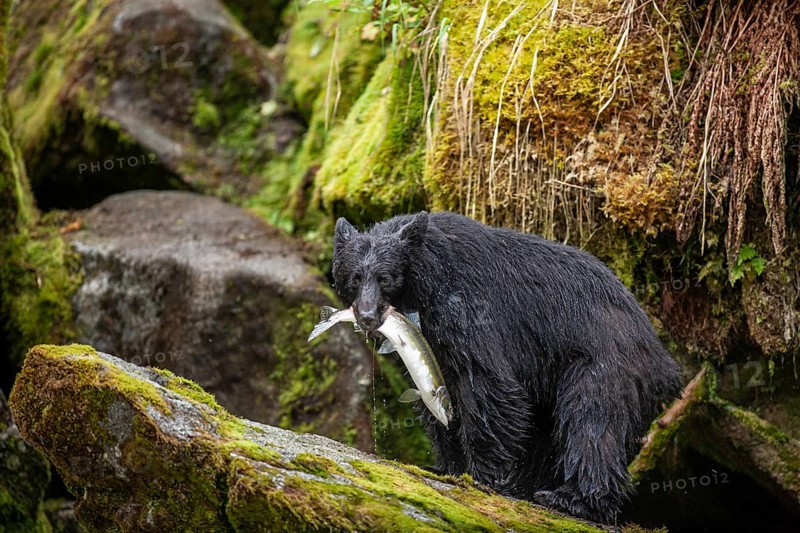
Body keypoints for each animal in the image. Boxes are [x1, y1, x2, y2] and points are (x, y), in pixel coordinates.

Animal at [331, 211, 683, 523]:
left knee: (592, 422)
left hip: (604, 364)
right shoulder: (431, 342)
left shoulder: (469, 312)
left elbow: (487, 385)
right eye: (355, 278)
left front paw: (481, 474)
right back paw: (530, 488)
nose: (367, 317)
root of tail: (663, 358)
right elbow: (437, 392)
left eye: (386, 278)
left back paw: (573, 499)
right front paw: (446, 466)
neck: (425, 282)